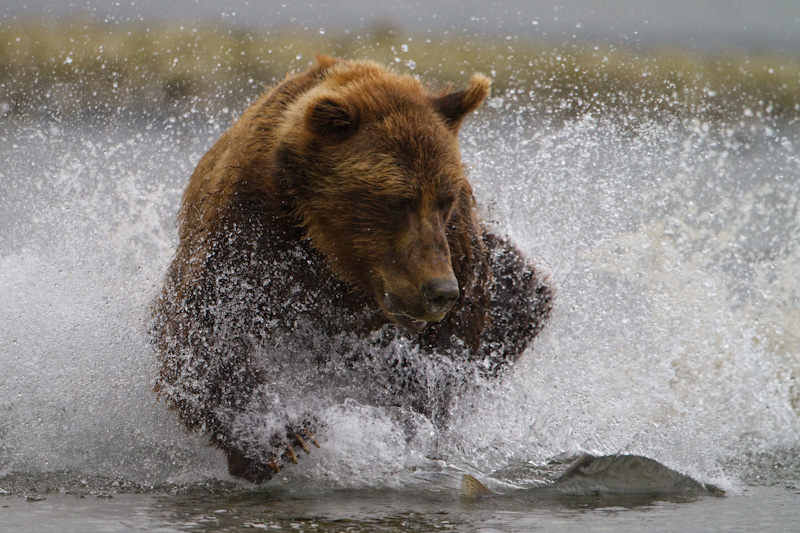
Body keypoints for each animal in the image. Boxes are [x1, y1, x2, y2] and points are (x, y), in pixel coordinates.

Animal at [152, 55, 552, 482]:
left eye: (444, 198)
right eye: (398, 200)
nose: (440, 291)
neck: (328, 251)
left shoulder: (460, 246)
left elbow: (458, 341)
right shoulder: (245, 231)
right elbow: (205, 328)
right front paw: (279, 439)